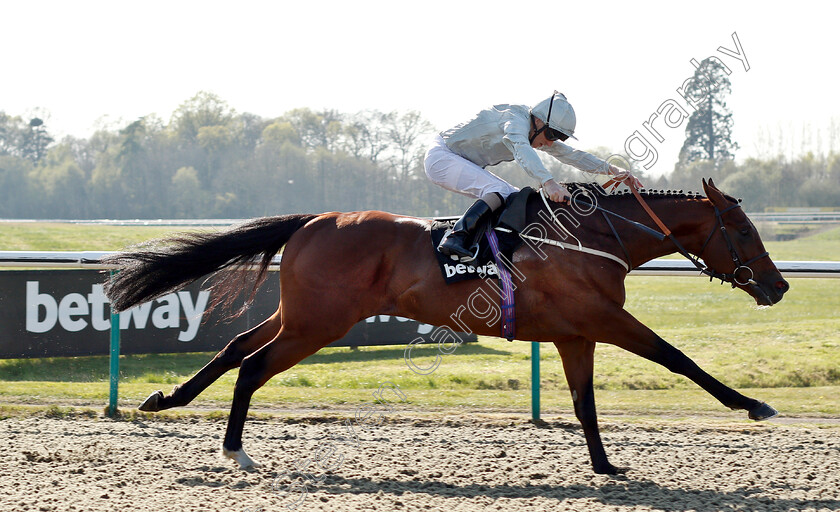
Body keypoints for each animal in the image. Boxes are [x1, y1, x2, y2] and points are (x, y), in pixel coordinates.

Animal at [103, 180, 788, 476]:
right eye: (744, 229)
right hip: (318, 323)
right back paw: (234, 447)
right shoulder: (604, 318)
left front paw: (604, 466)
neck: (593, 238)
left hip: (299, 315)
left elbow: (585, 403)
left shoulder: (576, 333)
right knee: (251, 364)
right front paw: (753, 405)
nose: (778, 286)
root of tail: (315, 220)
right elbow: (679, 358)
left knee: (234, 347)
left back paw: (167, 398)